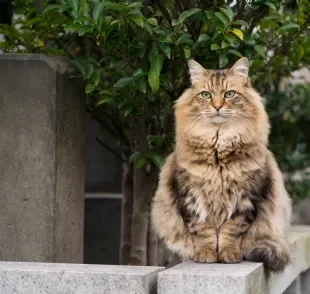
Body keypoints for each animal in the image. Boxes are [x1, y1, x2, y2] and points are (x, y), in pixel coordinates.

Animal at [151, 57, 292, 272]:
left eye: (229, 94)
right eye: (206, 95)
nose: (217, 106)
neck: (218, 145)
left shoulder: (245, 200)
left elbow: (231, 232)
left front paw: (228, 255)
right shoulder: (192, 198)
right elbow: (203, 232)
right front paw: (206, 255)